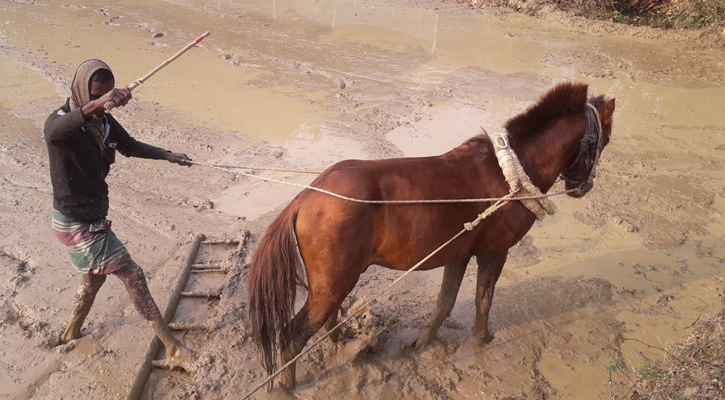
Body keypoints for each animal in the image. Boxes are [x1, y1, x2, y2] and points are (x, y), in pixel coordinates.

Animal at [247, 82, 612, 390]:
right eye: (605, 140)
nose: (583, 186)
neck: (512, 175)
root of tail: (304, 198)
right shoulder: (494, 251)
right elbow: (483, 299)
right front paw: (483, 340)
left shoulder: (459, 253)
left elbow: (445, 302)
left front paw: (422, 342)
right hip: (333, 282)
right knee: (292, 335)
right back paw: (287, 386)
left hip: (332, 283)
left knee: (326, 320)